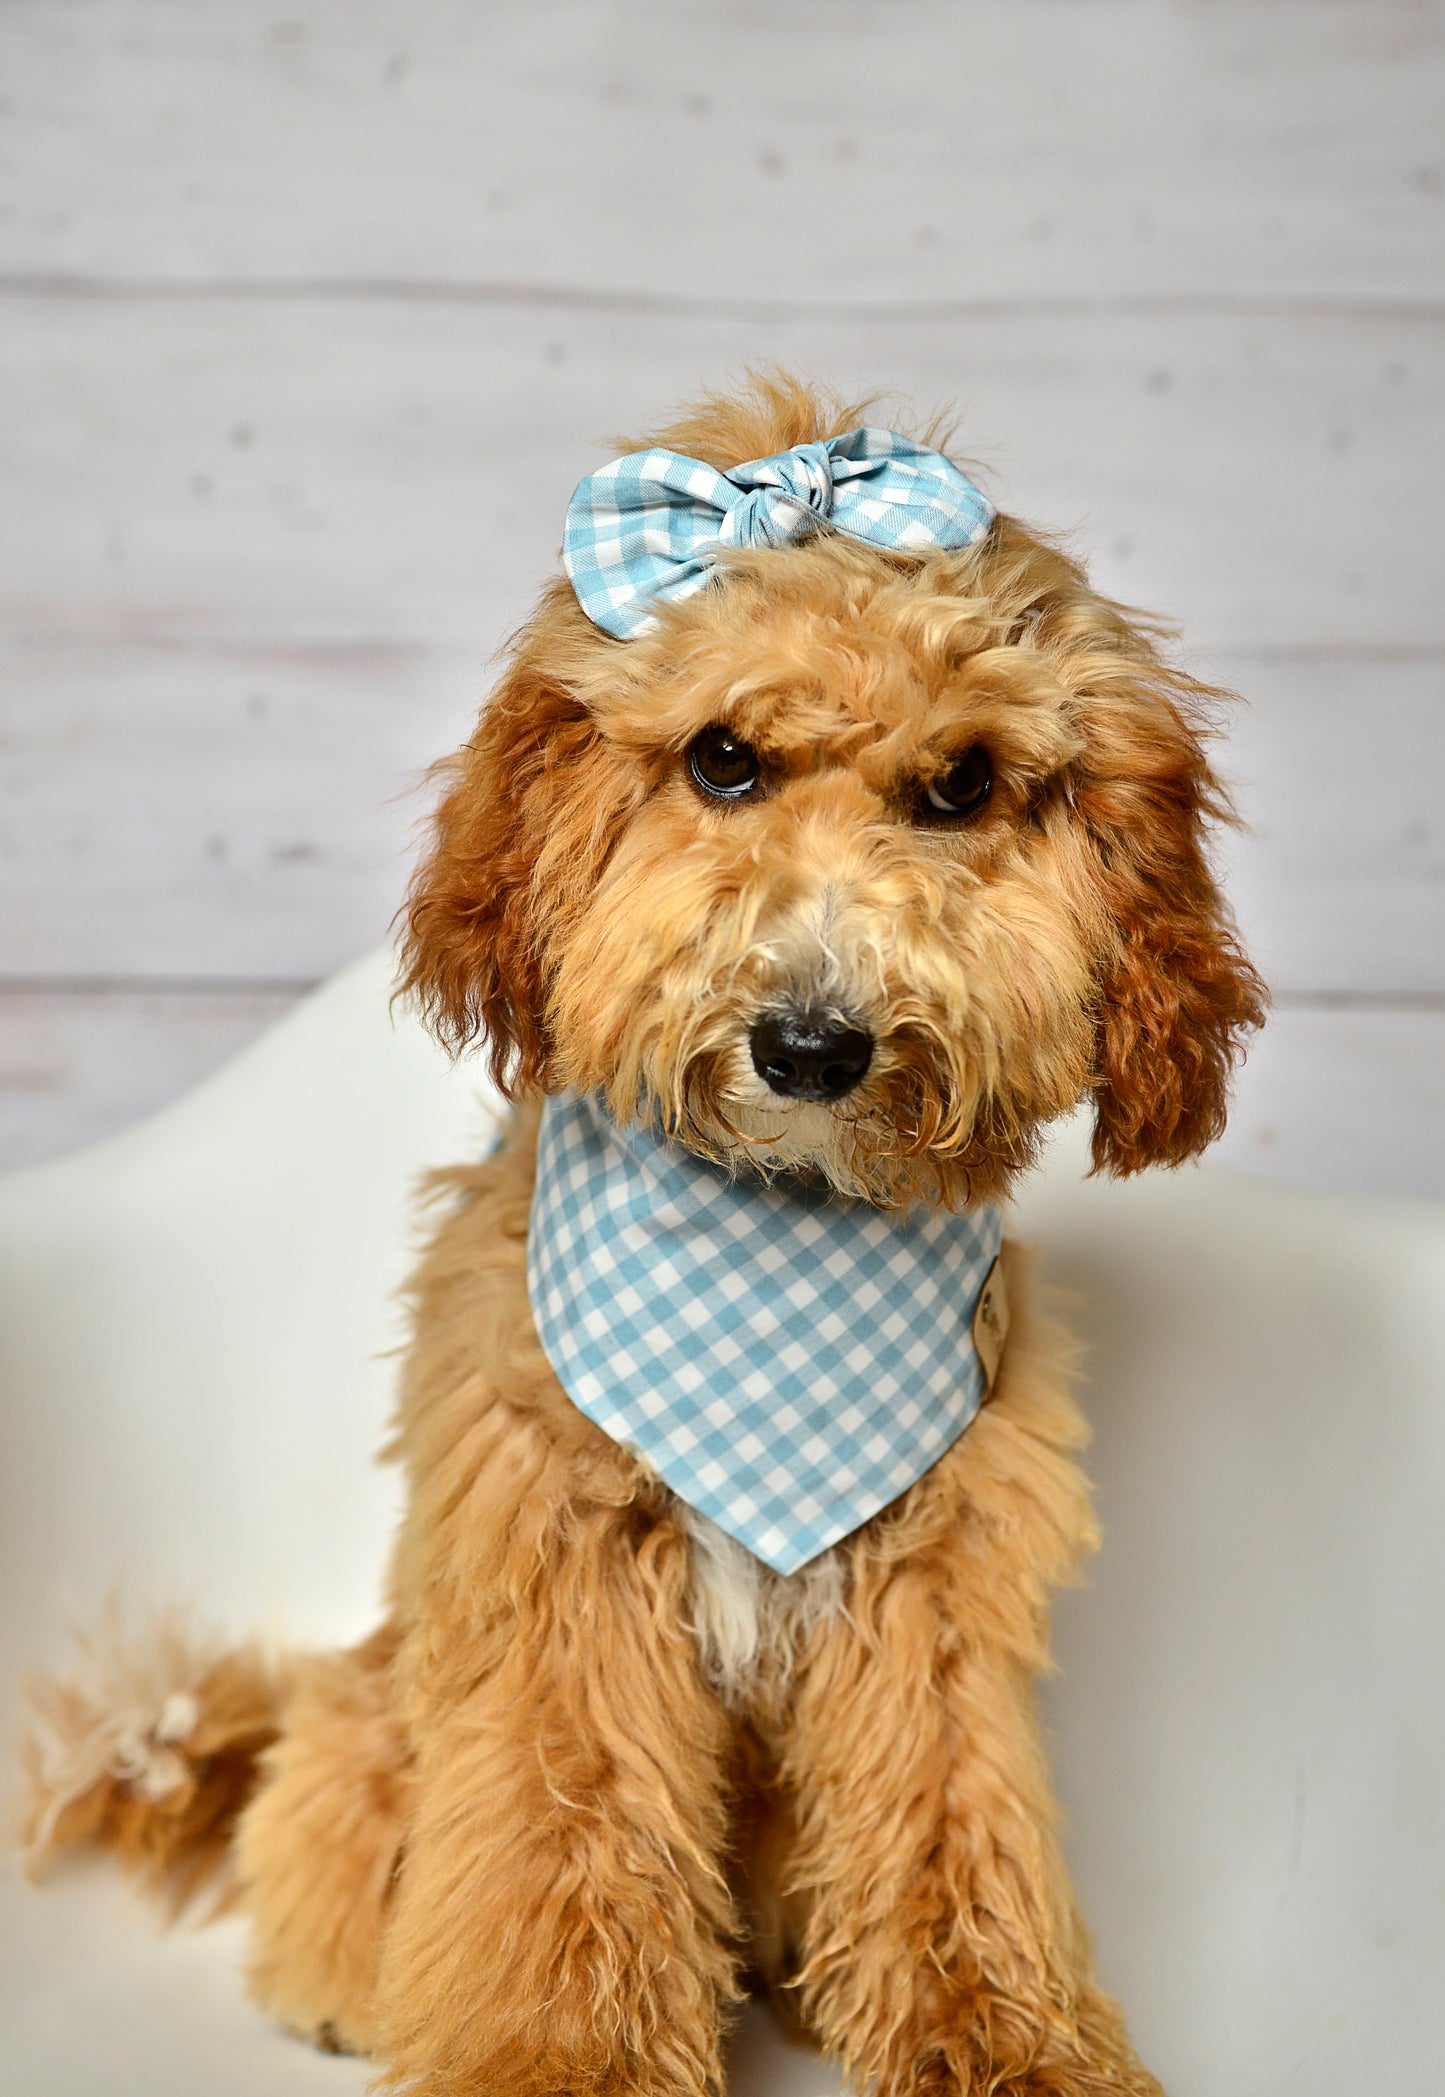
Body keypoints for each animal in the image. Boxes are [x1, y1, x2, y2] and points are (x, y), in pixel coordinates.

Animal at [22, 381, 1258, 2097]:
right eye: (723, 759)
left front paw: (1006, 2048)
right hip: (378, 1704)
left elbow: (952, 1826)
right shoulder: (562, 1580)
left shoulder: (931, 1590)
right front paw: (552, 2062)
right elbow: (565, 1845)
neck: (774, 1241)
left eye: (959, 786)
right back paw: (347, 1981)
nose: (813, 1045)